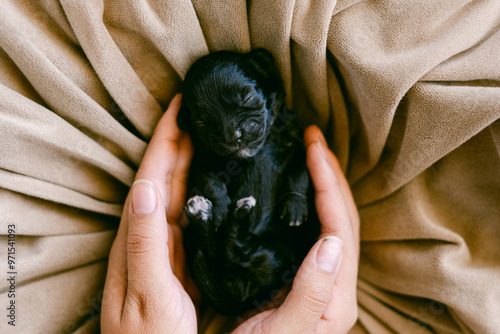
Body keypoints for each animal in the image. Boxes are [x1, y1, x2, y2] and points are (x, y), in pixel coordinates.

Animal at [180, 49, 318, 316]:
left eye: (247, 97)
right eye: (201, 121)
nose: (232, 136)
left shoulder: (297, 143)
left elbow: (300, 170)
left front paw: (295, 207)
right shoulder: (200, 161)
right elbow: (209, 178)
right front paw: (221, 206)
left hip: (281, 253)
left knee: (228, 254)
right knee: (224, 253)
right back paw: (211, 214)